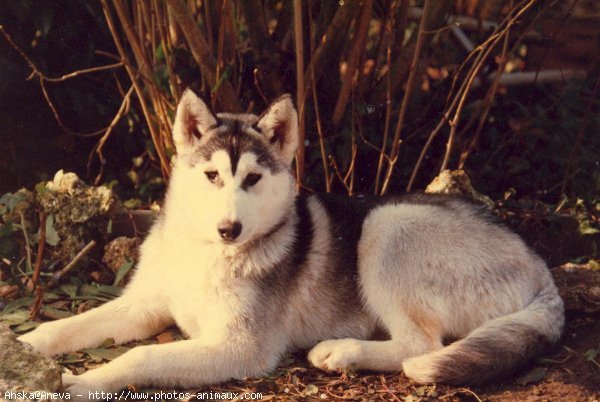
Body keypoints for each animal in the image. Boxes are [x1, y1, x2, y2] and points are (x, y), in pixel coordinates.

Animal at [17, 89, 564, 398]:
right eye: (212, 176)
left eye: (253, 179)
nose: (230, 230)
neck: (208, 254)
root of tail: (539, 266)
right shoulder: (141, 306)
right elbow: (68, 326)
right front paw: (23, 345)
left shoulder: (240, 348)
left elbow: (141, 358)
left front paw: (84, 381)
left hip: (387, 225)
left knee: (421, 347)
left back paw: (342, 352)